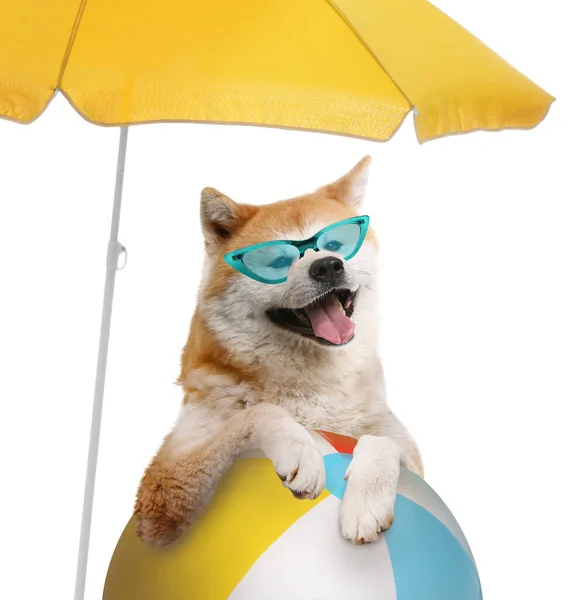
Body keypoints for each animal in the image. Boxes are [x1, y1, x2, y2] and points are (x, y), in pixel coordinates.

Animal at [135, 156, 424, 548]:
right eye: (276, 261)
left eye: (336, 243)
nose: (328, 265)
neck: (312, 388)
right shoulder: (162, 489)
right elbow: (258, 413)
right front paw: (298, 448)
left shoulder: (405, 447)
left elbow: (381, 442)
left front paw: (365, 502)